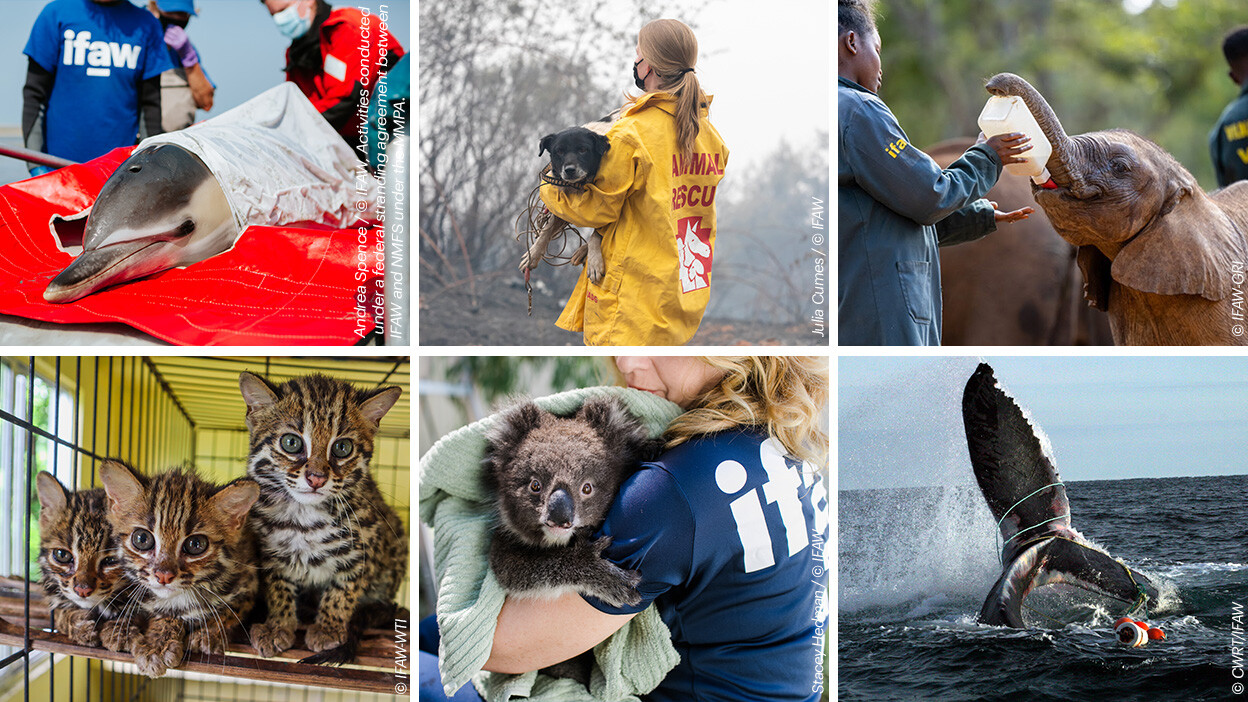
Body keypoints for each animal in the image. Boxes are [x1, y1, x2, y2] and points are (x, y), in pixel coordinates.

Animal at [34, 469, 131, 649]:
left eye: (111, 560)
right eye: (62, 555)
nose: (82, 590)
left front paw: (118, 630)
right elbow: (59, 613)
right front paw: (78, 625)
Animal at [100, 457, 260, 674]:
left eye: (196, 544)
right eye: (142, 539)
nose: (163, 575)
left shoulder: (249, 580)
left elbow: (227, 610)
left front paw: (203, 633)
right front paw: (136, 634)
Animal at [238, 372, 404, 659]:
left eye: (342, 447)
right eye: (291, 442)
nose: (316, 478)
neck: (303, 516)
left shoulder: (366, 543)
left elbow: (344, 588)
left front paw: (328, 628)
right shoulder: (268, 552)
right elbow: (278, 588)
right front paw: (278, 625)